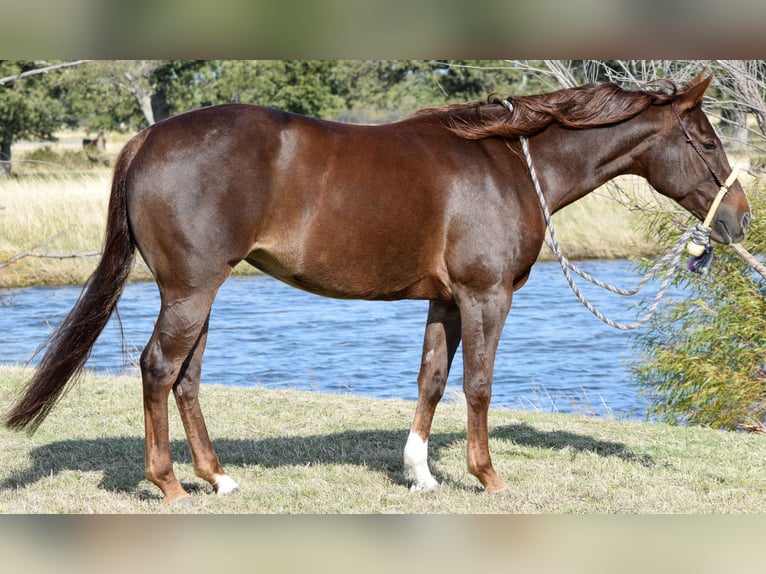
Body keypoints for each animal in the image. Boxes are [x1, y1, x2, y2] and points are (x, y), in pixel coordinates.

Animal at [3, 71, 752, 504]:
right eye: (708, 142)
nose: (741, 219)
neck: (510, 163)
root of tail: (147, 138)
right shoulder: (486, 296)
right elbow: (479, 385)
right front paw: (488, 476)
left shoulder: (446, 300)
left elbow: (432, 380)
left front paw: (420, 472)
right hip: (189, 292)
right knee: (159, 370)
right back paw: (168, 485)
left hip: (199, 292)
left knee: (185, 379)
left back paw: (216, 477)